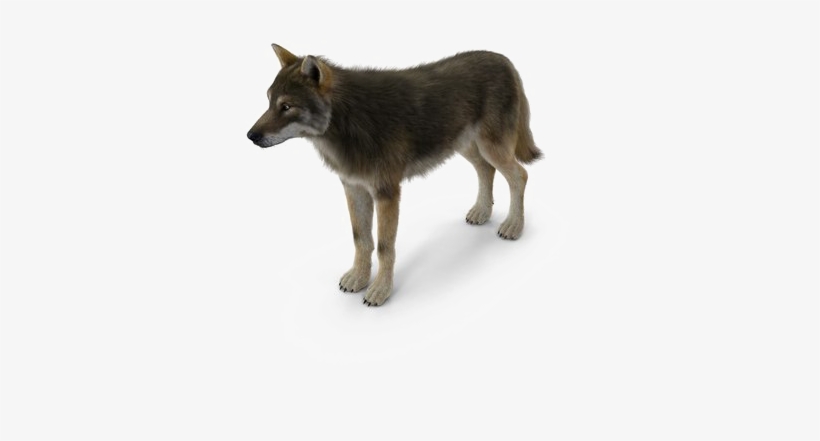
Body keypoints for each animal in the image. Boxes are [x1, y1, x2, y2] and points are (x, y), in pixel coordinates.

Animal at [247, 44, 542, 306]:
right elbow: (361, 240)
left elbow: (384, 248)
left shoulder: (387, 194)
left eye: (287, 107)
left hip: (491, 148)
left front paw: (380, 290)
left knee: (520, 175)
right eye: (270, 101)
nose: (251, 136)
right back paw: (482, 212)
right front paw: (358, 278)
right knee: (486, 170)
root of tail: (503, 59)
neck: (349, 120)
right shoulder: (354, 188)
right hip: (467, 147)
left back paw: (514, 226)